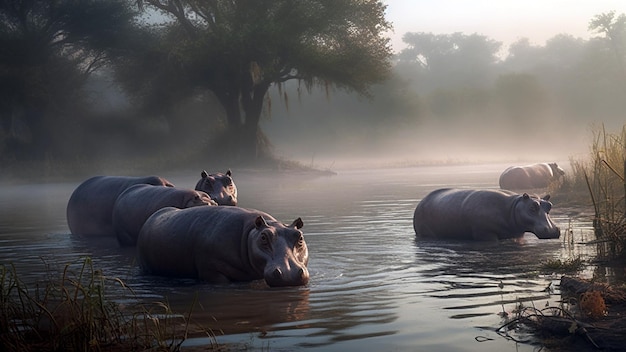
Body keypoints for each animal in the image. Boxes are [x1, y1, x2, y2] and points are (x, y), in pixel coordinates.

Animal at [412, 188, 560, 241]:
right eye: (532, 207)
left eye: (549, 205)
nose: (552, 230)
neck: (513, 206)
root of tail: (421, 202)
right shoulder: (485, 233)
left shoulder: (517, 235)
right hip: (425, 232)